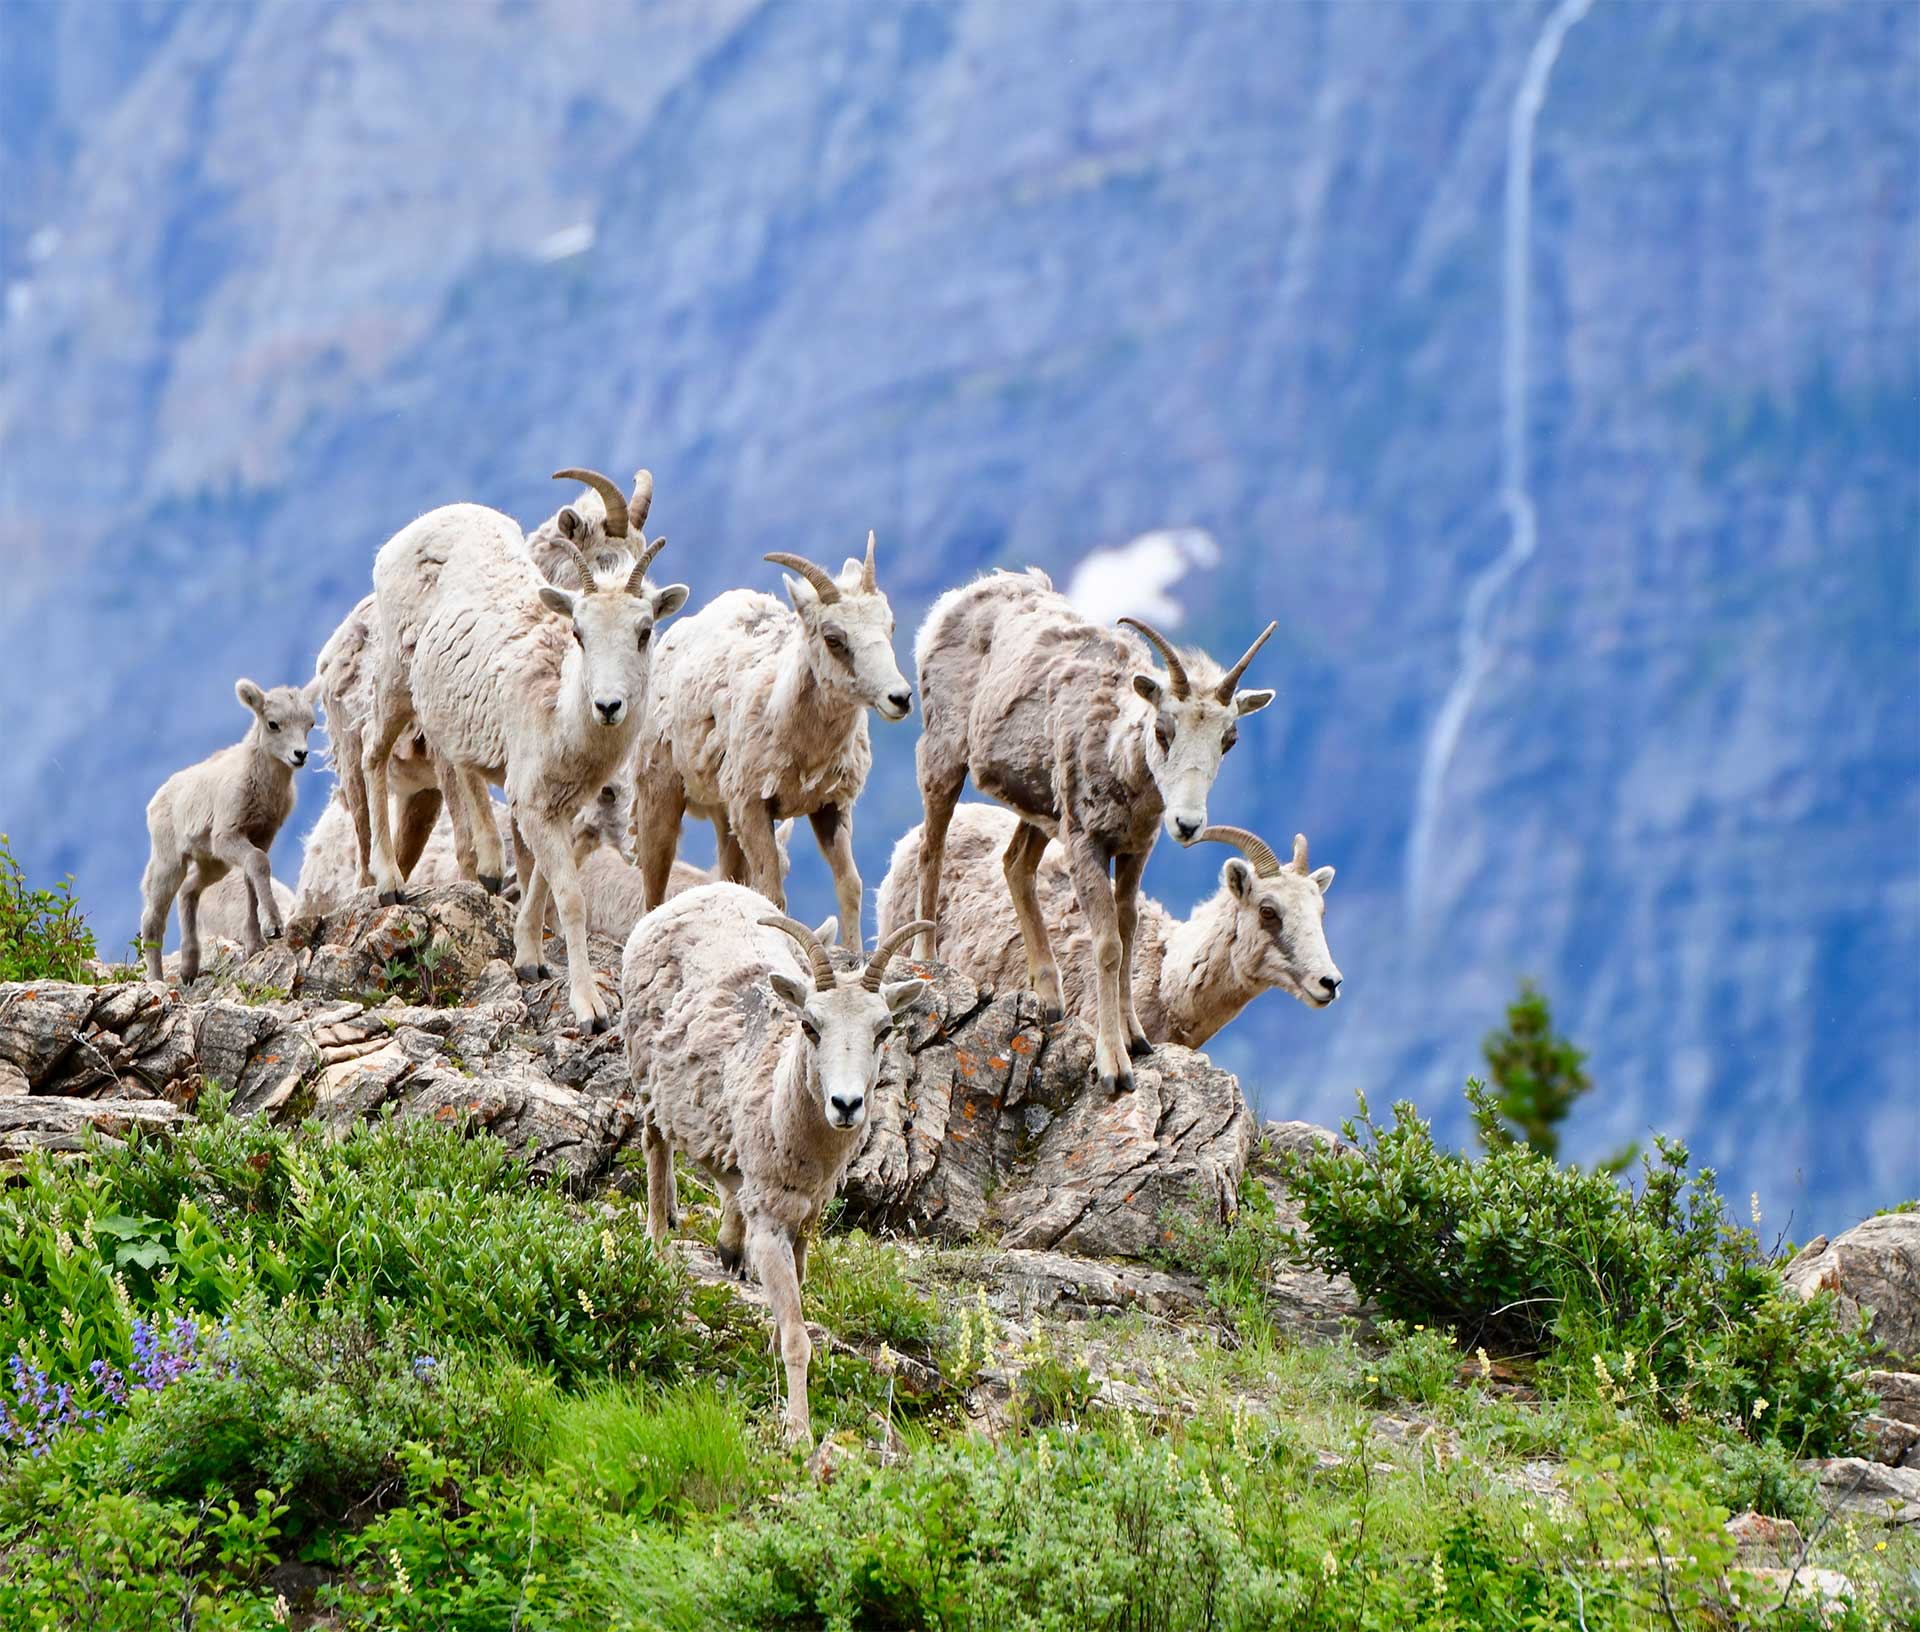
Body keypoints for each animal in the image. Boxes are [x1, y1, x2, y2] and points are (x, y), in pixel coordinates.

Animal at [139, 680, 318, 981]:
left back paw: (189, 967)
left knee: (188, 890)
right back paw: (157, 980)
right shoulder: (227, 837)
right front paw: (275, 926)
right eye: (273, 724)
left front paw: (256, 943)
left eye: (311, 723)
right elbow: (257, 863)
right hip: (171, 861)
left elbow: (252, 876)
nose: (300, 755)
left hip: (212, 863)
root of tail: (155, 801)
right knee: (153, 917)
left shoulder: (262, 835)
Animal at [361, 469, 689, 1029]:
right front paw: (590, 1009)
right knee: (372, 755)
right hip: (396, 677)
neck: (560, 714)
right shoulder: (534, 802)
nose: (608, 705)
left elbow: (537, 877)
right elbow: (570, 898)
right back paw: (390, 883)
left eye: (645, 632)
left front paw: (529, 961)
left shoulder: (555, 806)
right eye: (579, 632)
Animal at [621, 886, 931, 1446]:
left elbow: (794, 1310)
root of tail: (700, 891)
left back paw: (727, 1246)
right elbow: (797, 1338)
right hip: (647, 1075)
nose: (846, 1105)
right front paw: (798, 1434)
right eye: (809, 1026)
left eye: (883, 1030)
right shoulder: (771, 1223)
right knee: (656, 1149)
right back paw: (660, 1246)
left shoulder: (805, 1221)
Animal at [630, 534, 912, 948]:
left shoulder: (830, 807)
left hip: (724, 815)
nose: (900, 698)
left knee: (729, 874)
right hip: (660, 793)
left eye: (889, 625)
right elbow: (774, 894)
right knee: (654, 880)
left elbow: (850, 885)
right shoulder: (753, 807)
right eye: (833, 639)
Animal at [911, 568, 1277, 1093]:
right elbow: (1108, 946)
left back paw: (1049, 1000)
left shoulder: (1134, 850)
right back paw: (927, 960)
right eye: (1163, 730)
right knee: (932, 847)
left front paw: (1136, 1040)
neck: (1116, 752)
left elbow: (1127, 932)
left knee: (1015, 865)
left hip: (1042, 810)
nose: (1187, 825)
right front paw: (1114, 1068)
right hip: (943, 756)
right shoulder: (1086, 844)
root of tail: (959, 598)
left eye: (1229, 741)